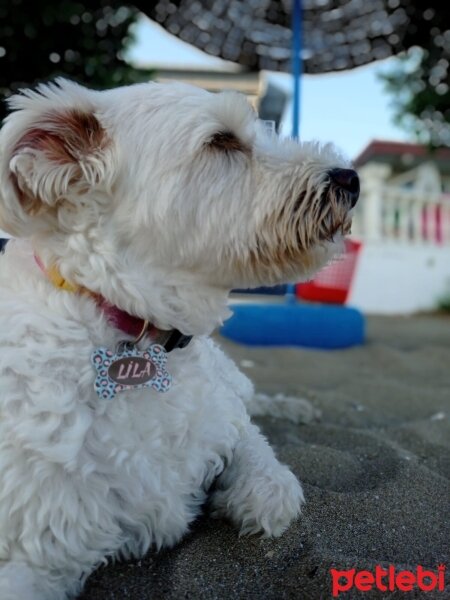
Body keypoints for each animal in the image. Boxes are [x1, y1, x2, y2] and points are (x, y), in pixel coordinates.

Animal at [0, 81, 358, 600]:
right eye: (222, 141)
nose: (351, 178)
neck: (139, 332)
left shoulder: (226, 421)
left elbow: (268, 474)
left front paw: (255, 490)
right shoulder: (34, 551)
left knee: (252, 395)